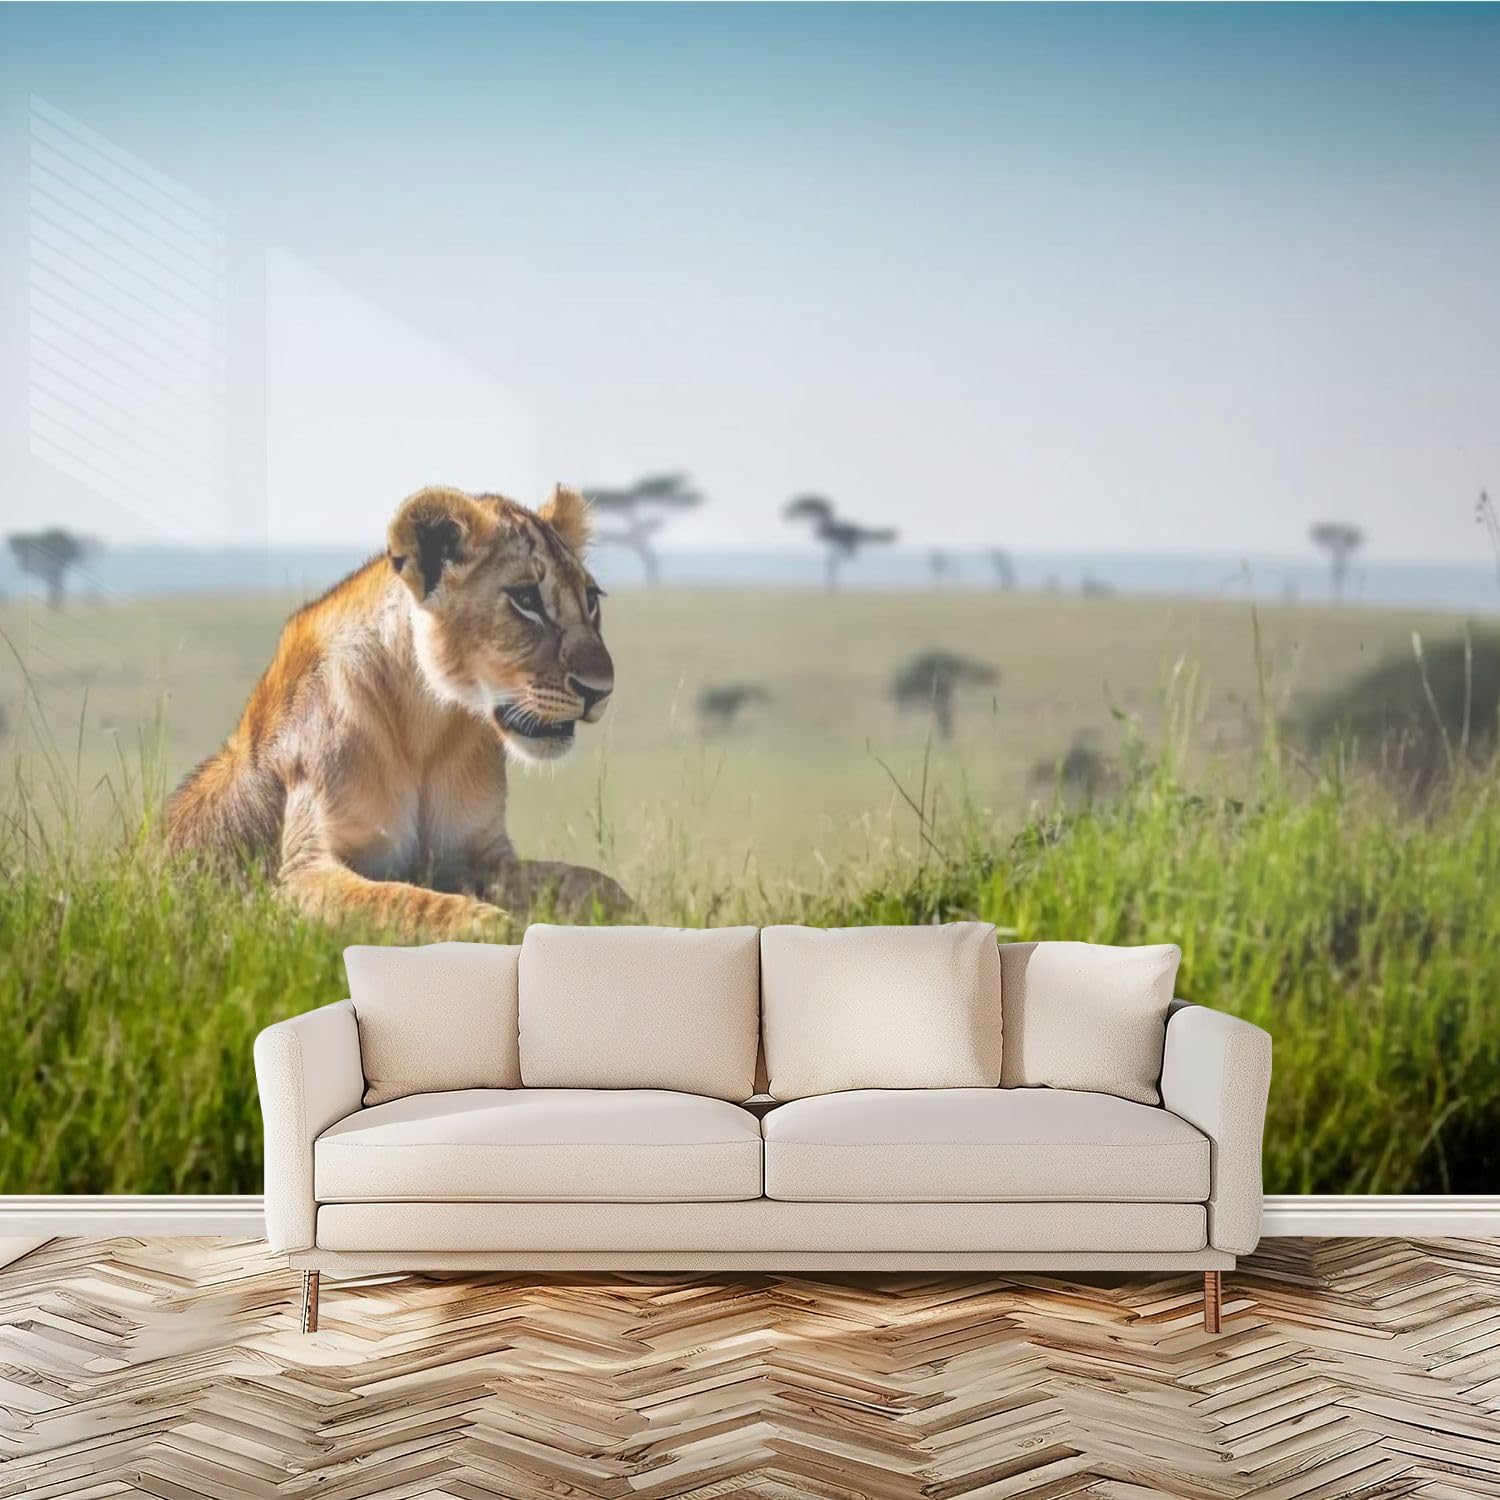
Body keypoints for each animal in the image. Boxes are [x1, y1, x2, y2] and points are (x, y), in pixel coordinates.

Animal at [166, 483, 630, 934]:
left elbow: (593, 882)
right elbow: (401, 901)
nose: (601, 689)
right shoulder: (298, 873)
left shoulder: (482, 854)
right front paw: (493, 924)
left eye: (591, 600)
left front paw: (626, 915)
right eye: (526, 599)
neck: (430, 723)